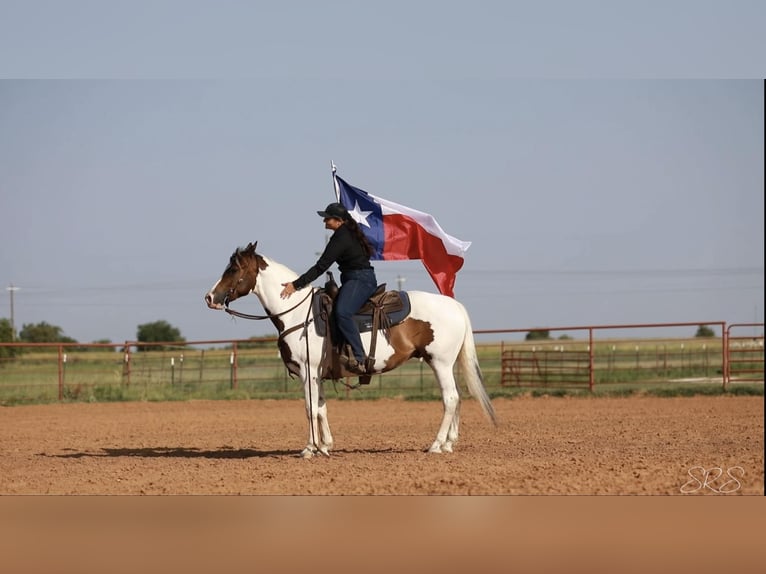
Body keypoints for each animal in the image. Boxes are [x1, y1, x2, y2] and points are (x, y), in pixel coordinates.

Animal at [206, 243, 498, 460]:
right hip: (446, 364)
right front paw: (325, 446)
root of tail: (454, 305)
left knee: (450, 399)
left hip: (440, 362)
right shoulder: (317, 374)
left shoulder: (307, 371)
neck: (297, 314)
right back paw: (449, 443)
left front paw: (309, 449)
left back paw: (436, 445)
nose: (210, 298)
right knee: (458, 398)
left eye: (233, 269)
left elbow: (310, 409)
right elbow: (321, 408)